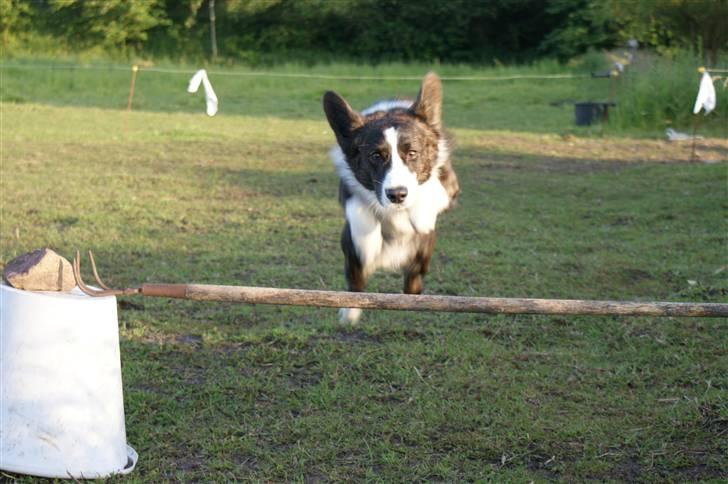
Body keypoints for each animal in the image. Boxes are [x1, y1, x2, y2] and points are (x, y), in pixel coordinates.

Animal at [322, 72, 458, 324]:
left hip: (422, 255)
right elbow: (361, 214)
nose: (397, 195)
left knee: (413, 284)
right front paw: (369, 244)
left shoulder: (449, 185)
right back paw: (350, 310)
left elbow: (431, 192)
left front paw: (420, 215)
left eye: (412, 153)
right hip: (347, 244)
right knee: (355, 279)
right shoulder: (348, 190)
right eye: (376, 155)